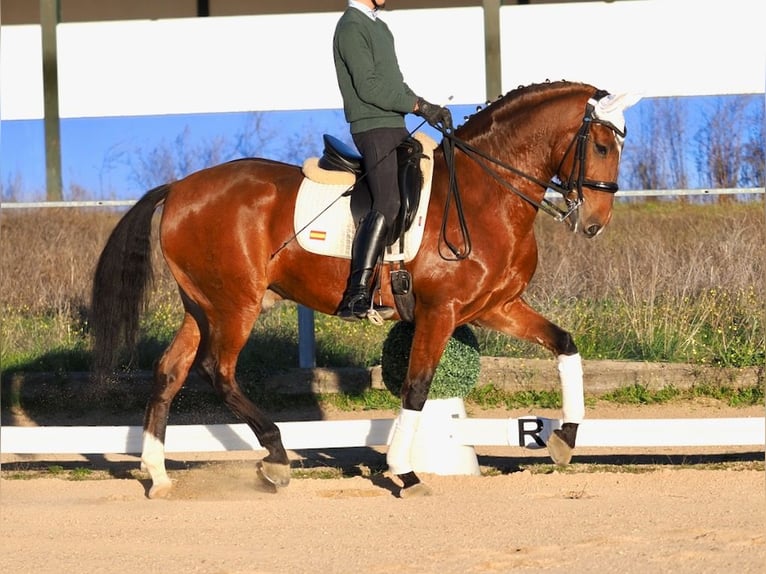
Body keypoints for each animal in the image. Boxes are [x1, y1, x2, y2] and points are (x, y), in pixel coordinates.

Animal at [90, 80, 640, 500]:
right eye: (602, 146)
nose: (595, 223)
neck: (488, 193)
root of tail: (180, 187)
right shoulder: (441, 312)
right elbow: (417, 386)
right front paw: (405, 472)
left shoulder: (495, 306)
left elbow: (565, 344)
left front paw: (564, 437)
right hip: (236, 304)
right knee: (217, 371)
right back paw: (276, 458)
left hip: (202, 305)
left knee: (170, 372)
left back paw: (159, 476)